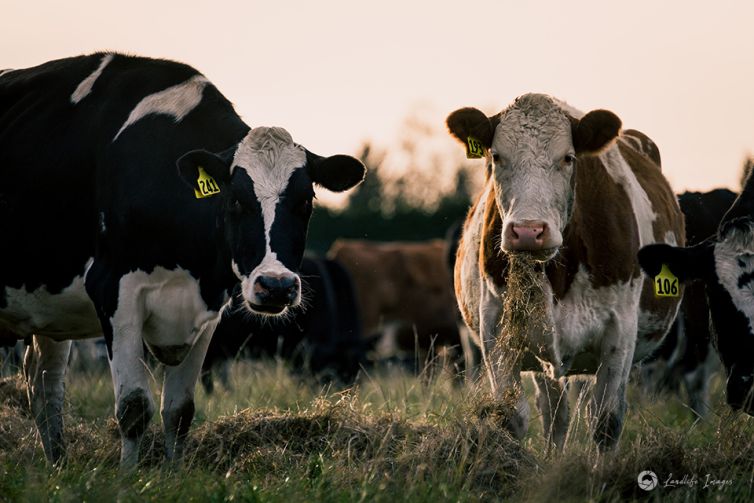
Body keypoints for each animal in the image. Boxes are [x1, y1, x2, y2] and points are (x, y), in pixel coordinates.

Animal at [0, 53, 364, 466]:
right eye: (235, 200)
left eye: (306, 202)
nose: (275, 287)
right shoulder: (115, 291)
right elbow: (133, 408)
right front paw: (129, 475)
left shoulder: (207, 308)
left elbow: (179, 411)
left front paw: (173, 472)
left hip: (50, 315)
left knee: (44, 386)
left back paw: (58, 463)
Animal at [446, 93, 680, 448]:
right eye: (496, 157)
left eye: (568, 158)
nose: (528, 231)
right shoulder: (497, 333)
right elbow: (512, 417)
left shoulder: (620, 332)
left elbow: (605, 421)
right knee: (555, 415)